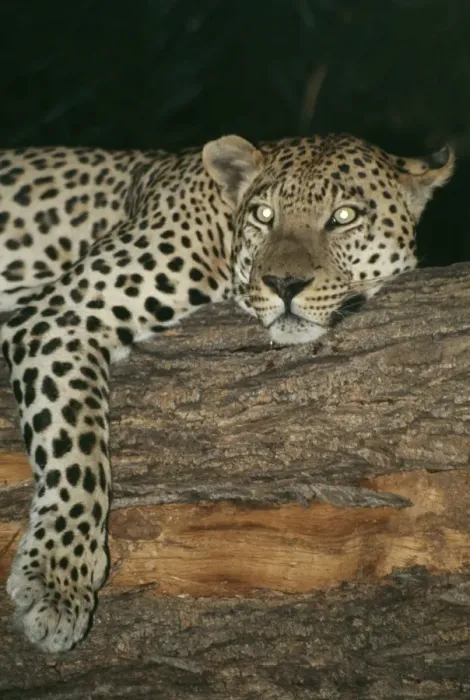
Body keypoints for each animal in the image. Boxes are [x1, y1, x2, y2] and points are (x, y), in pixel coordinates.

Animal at [0, 133, 454, 652]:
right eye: (264, 214)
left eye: (343, 217)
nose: (285, 284)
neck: (222, 231)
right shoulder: (60, 317)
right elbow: (78, 454)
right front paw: (57, 584)